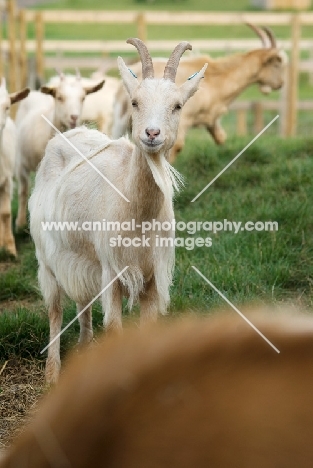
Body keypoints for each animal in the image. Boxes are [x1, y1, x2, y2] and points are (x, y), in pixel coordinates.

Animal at [14, 72, 104, 230]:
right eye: (60, 97)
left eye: (83, 98)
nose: (74, 117)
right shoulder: (21, 165)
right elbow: (23, 191)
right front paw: (20, 223)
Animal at [28, 38, 206, 384]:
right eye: (135, 102)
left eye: (177, 106)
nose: (152, 134)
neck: (137, 213)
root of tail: (69, 133)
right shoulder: (112, 270)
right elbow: (113, 328)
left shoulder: (152, 276)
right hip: (47, 255)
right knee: (55, 309)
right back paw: (53, 373)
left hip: (82, 257)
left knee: (82, 300)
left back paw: (83, 349)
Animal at [112, 24, 288, 163]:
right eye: (277, 62)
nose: (280, 83)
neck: (216, 79)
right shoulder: (182, 122)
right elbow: (175, 147)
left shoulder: (211, 120)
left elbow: (221, 138)